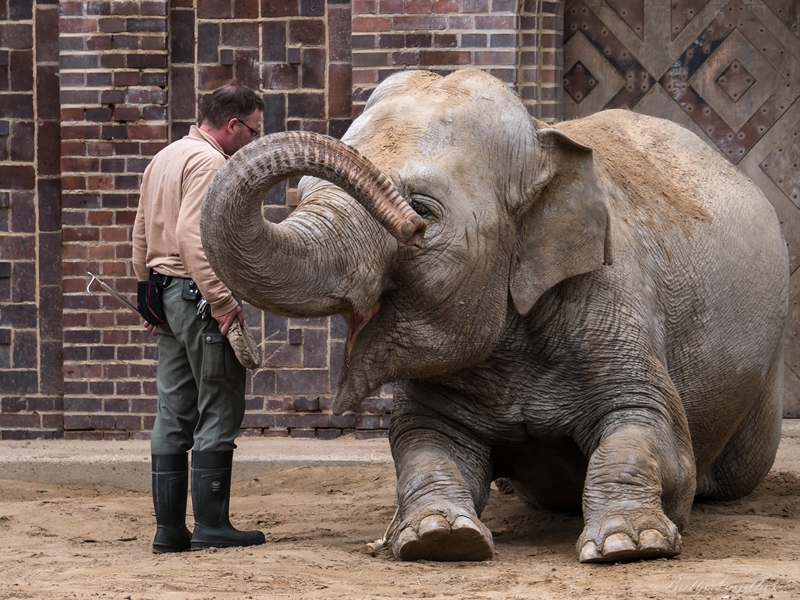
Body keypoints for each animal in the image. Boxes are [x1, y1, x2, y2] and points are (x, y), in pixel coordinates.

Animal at [200, 69, 788, 564]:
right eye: (301, 194)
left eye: (422, 210)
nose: (248, 352)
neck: (544, 140)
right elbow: (424, 444)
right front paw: (437, 538)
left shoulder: (612, 296)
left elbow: (651, 433)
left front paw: (628, 546)